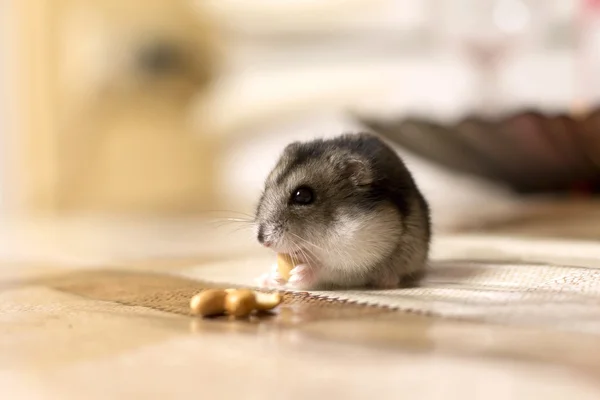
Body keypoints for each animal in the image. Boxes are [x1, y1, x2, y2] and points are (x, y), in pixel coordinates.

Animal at [255, 133, 428, 290]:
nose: (262, 240)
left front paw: (299, 274)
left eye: (303, 196)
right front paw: (272, 276)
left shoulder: (360, 256)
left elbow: (333, 270)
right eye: (265, 188)